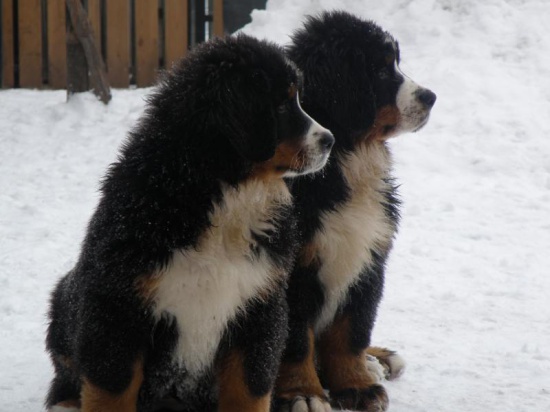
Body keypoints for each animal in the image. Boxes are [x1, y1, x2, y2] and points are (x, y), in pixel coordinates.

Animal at [45, 33, 334, 412]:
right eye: (283, 105)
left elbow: (249, 389)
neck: (224, 195)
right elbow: (111, 390)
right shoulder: (117, 307)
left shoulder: (259, 308)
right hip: (66, 299)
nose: (330, 140)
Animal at [274, 11, 437, 411]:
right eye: (379, 71)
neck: (349, 158)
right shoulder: (293, 273)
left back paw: (378, 360)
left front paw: (357, 384)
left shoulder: (369, 259)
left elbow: (350, 332)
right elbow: (296, 341)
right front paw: (303, 392)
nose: (431, 97)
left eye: (397, 62)